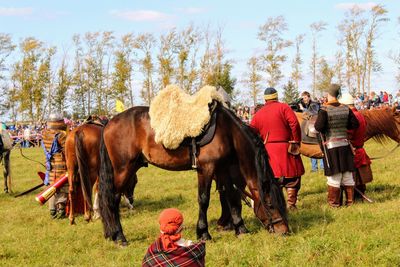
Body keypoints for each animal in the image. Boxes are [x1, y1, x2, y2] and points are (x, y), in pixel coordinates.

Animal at [98, 103, 288, 246]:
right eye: (270, 205)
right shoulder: (206, 169)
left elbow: (232, 198)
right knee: (112, 200)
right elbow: (204, 200)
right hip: (124, 169)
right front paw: (204, 233)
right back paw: (119, 236)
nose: (284, 231)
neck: (226, 131)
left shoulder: (223, 169)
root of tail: (109, 122)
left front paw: (240, 229)